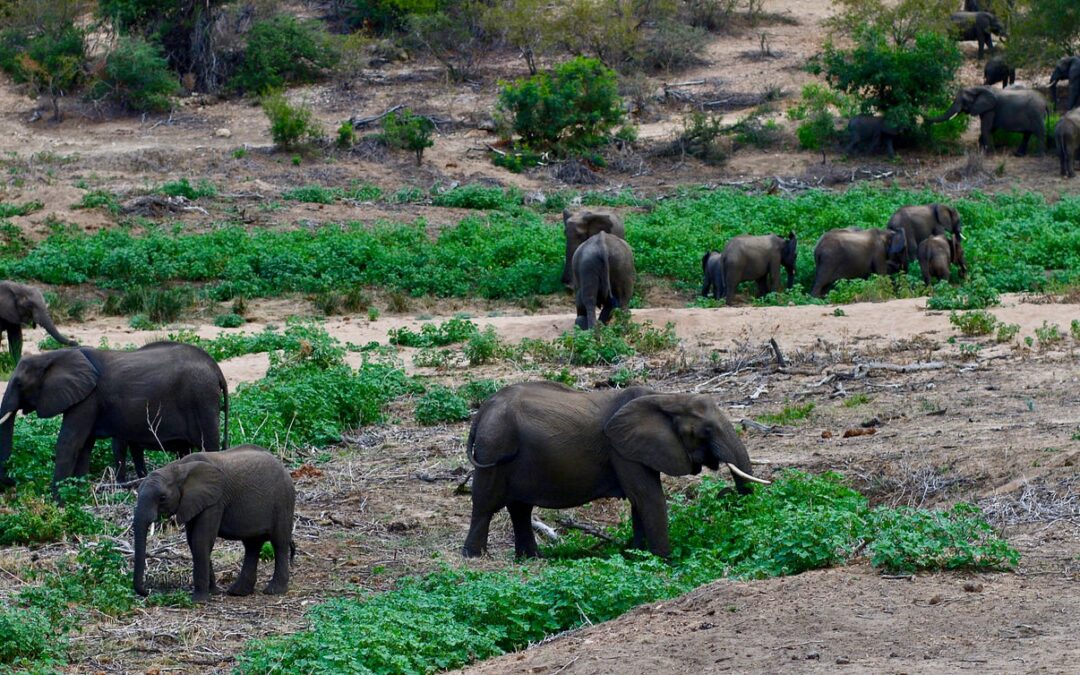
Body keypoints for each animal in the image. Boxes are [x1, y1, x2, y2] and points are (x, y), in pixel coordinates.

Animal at [0, 342, 229, 496]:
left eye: (19, 384)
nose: (11, 483)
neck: (52, 356)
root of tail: (216, 369)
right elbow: (85, 446)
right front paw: (79, 495)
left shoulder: (88, 398)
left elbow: (69, 443)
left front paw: (58, 502)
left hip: (203, 398)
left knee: (209, 445)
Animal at [133, 446, 295, 603]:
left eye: (162, 498)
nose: (147, 592)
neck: (178, 468)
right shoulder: (193, 502)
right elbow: (193, 542)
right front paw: (213, 592)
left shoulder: (215, 501)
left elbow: (201, 540)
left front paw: (199, 601)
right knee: (252, 545)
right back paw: (238, 592)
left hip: (283, 501)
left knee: (279, 542)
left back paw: (274, 591)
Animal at [462, 381, 768, 559]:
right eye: (705, 432)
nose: (726, 493)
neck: (665, 398)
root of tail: (482, 410)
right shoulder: (621, 450)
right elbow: (649, 498)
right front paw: (665, 561)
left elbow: (640, 502)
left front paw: (638, 555)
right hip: (494, 444)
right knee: (486, 503)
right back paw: (474, 557)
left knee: (520, 509)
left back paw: (530, 559)